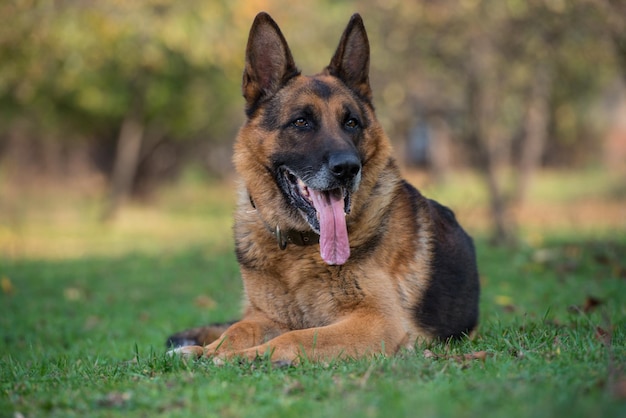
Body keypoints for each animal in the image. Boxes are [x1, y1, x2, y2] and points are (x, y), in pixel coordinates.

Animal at [166, 11, 478, 360]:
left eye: (351, 122)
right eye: (301, 122)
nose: (348, 168)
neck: (301, 249)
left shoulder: (377, 322)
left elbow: (296, 337)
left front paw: (240, 358)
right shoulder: (266, 316)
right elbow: (238, 330)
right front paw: (205, 351)